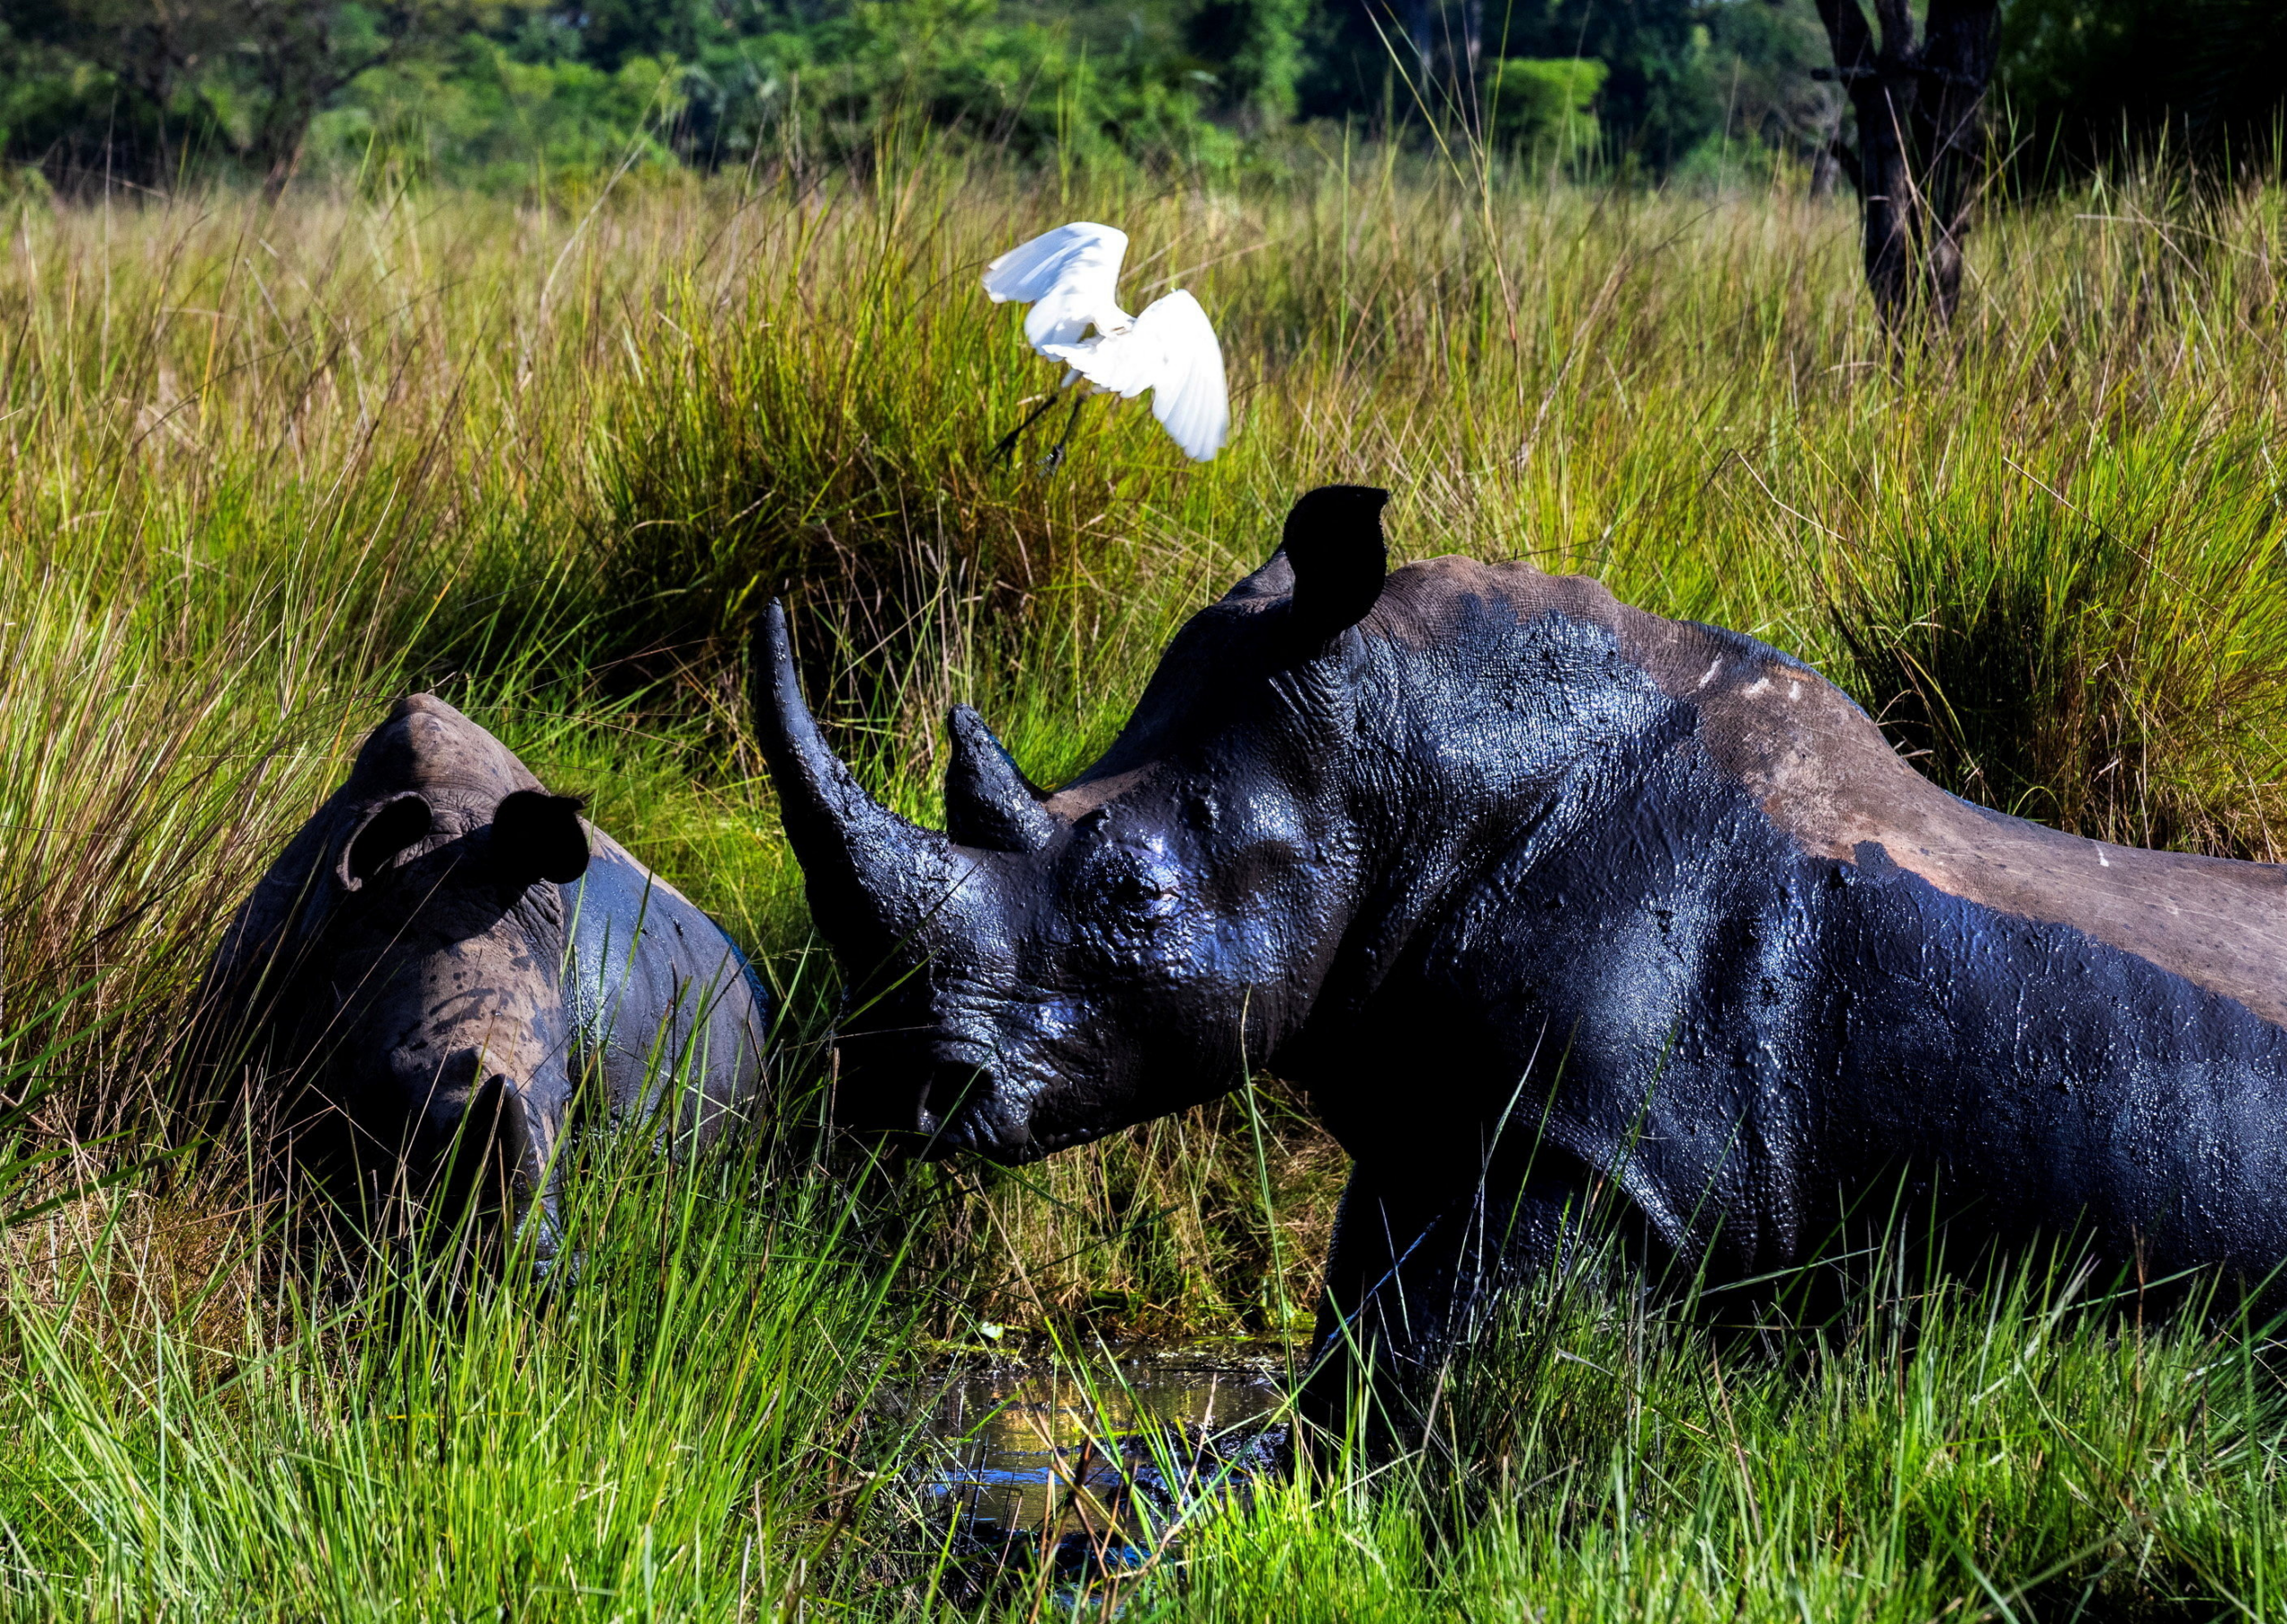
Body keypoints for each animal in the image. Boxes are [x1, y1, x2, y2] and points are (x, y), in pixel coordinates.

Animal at [756, 484, 2287, 1429]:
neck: (1409, 772)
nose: (892, 1080)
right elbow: (1360, 1360)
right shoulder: (1446, 1114)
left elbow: (1442, 1393)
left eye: (1134, 892)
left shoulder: (1584, 1136)